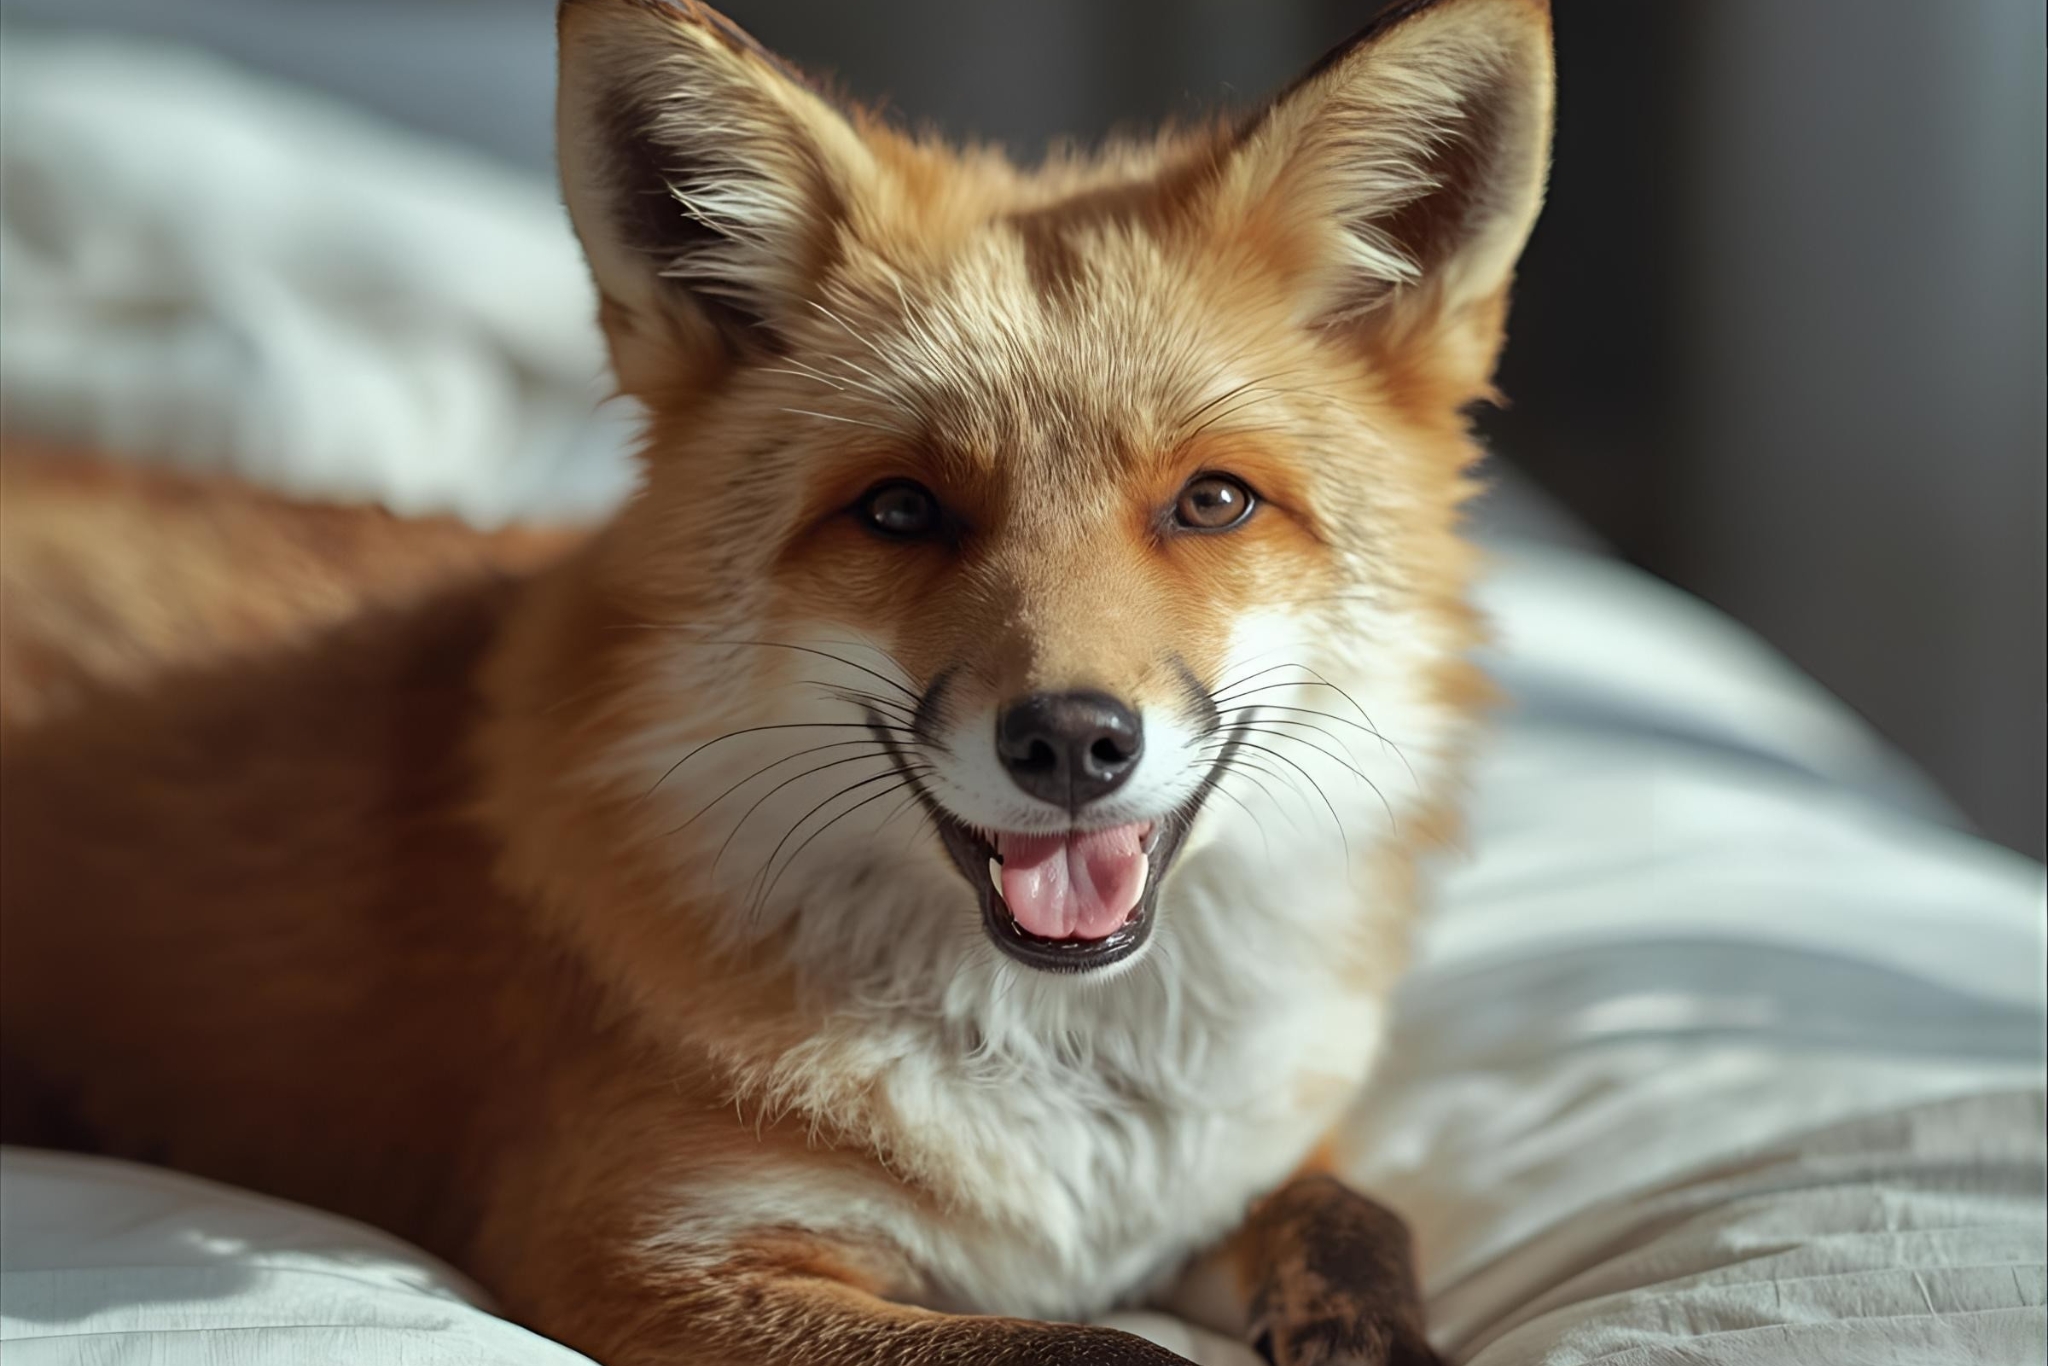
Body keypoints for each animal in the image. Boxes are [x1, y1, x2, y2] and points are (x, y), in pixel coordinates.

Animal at [0, 0, 1553, 1362]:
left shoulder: (1245, 1170)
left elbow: (1360, 1223)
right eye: (901, 510)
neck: (1077, 1100)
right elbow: (1101, 1348)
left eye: (1213, 502)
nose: (1070, 741)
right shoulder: (644, 1248)